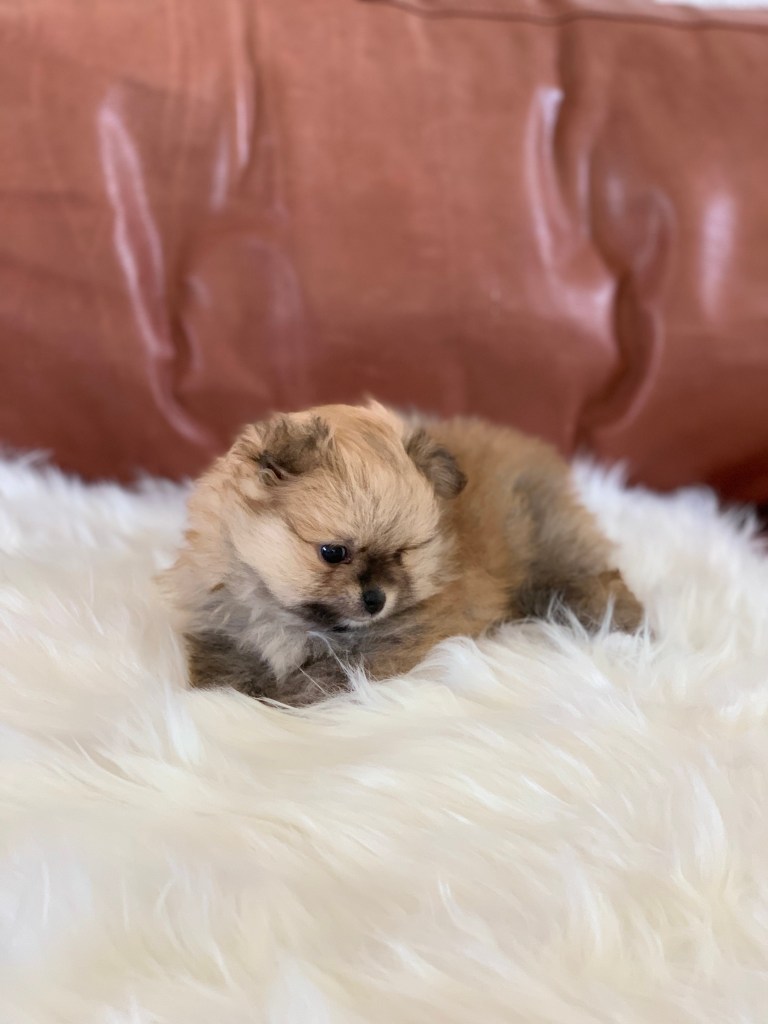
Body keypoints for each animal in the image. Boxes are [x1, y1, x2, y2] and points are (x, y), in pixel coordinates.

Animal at [161, 402, 643, 705]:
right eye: (333, 552)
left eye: (403, 553)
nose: (376, 600)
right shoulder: (222, 617)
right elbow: (225, 659)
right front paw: (225, 694)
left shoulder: (405, 635)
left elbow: (336, 671)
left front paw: (289, 696)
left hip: (549, 544)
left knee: (591, 577)